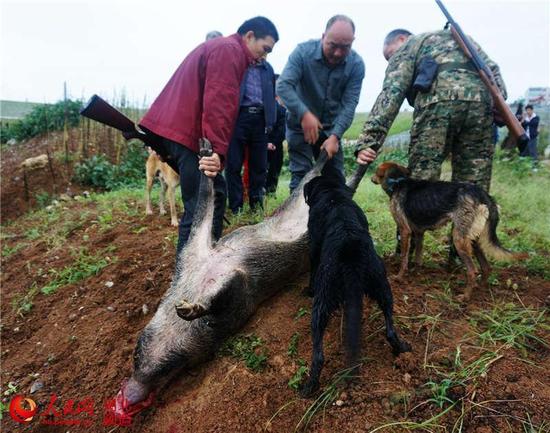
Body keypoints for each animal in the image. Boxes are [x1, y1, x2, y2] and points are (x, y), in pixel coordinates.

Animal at [302, 175, 414, 394]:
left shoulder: (314, 247)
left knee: (318, 354)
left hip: (322, 300)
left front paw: (307, 290)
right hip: (382, 286)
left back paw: (310, 385)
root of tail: (350, 250)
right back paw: (402, 348)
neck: (332, 195)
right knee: (390, 330)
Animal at [374, 161, 528, 300]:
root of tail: (483, 194)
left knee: (472, 270)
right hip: (473, 238)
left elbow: (404, 258)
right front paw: (416, 273)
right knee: (486, 267)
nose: (371, 178)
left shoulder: (405, 230)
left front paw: (399, 277)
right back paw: (480, 289)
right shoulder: (419, 232)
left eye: (376, 172)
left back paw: (465, 297)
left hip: (459, 239)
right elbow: (418, 257)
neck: (397, 181)